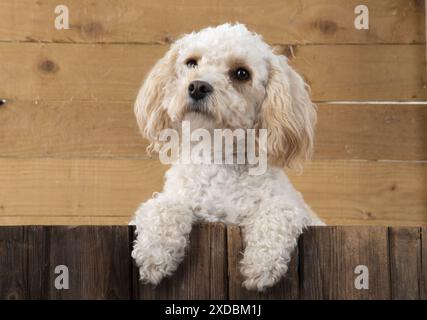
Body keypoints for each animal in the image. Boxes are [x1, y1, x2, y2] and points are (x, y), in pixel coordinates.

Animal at [131, 23, 324, 292]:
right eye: (191, 63)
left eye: (241, 73)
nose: (198, 86)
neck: (219, 157)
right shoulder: (177, 198)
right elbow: (162, 207)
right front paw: (154, 254)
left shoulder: (297, 210)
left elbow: (278, 212)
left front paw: (261, 264)